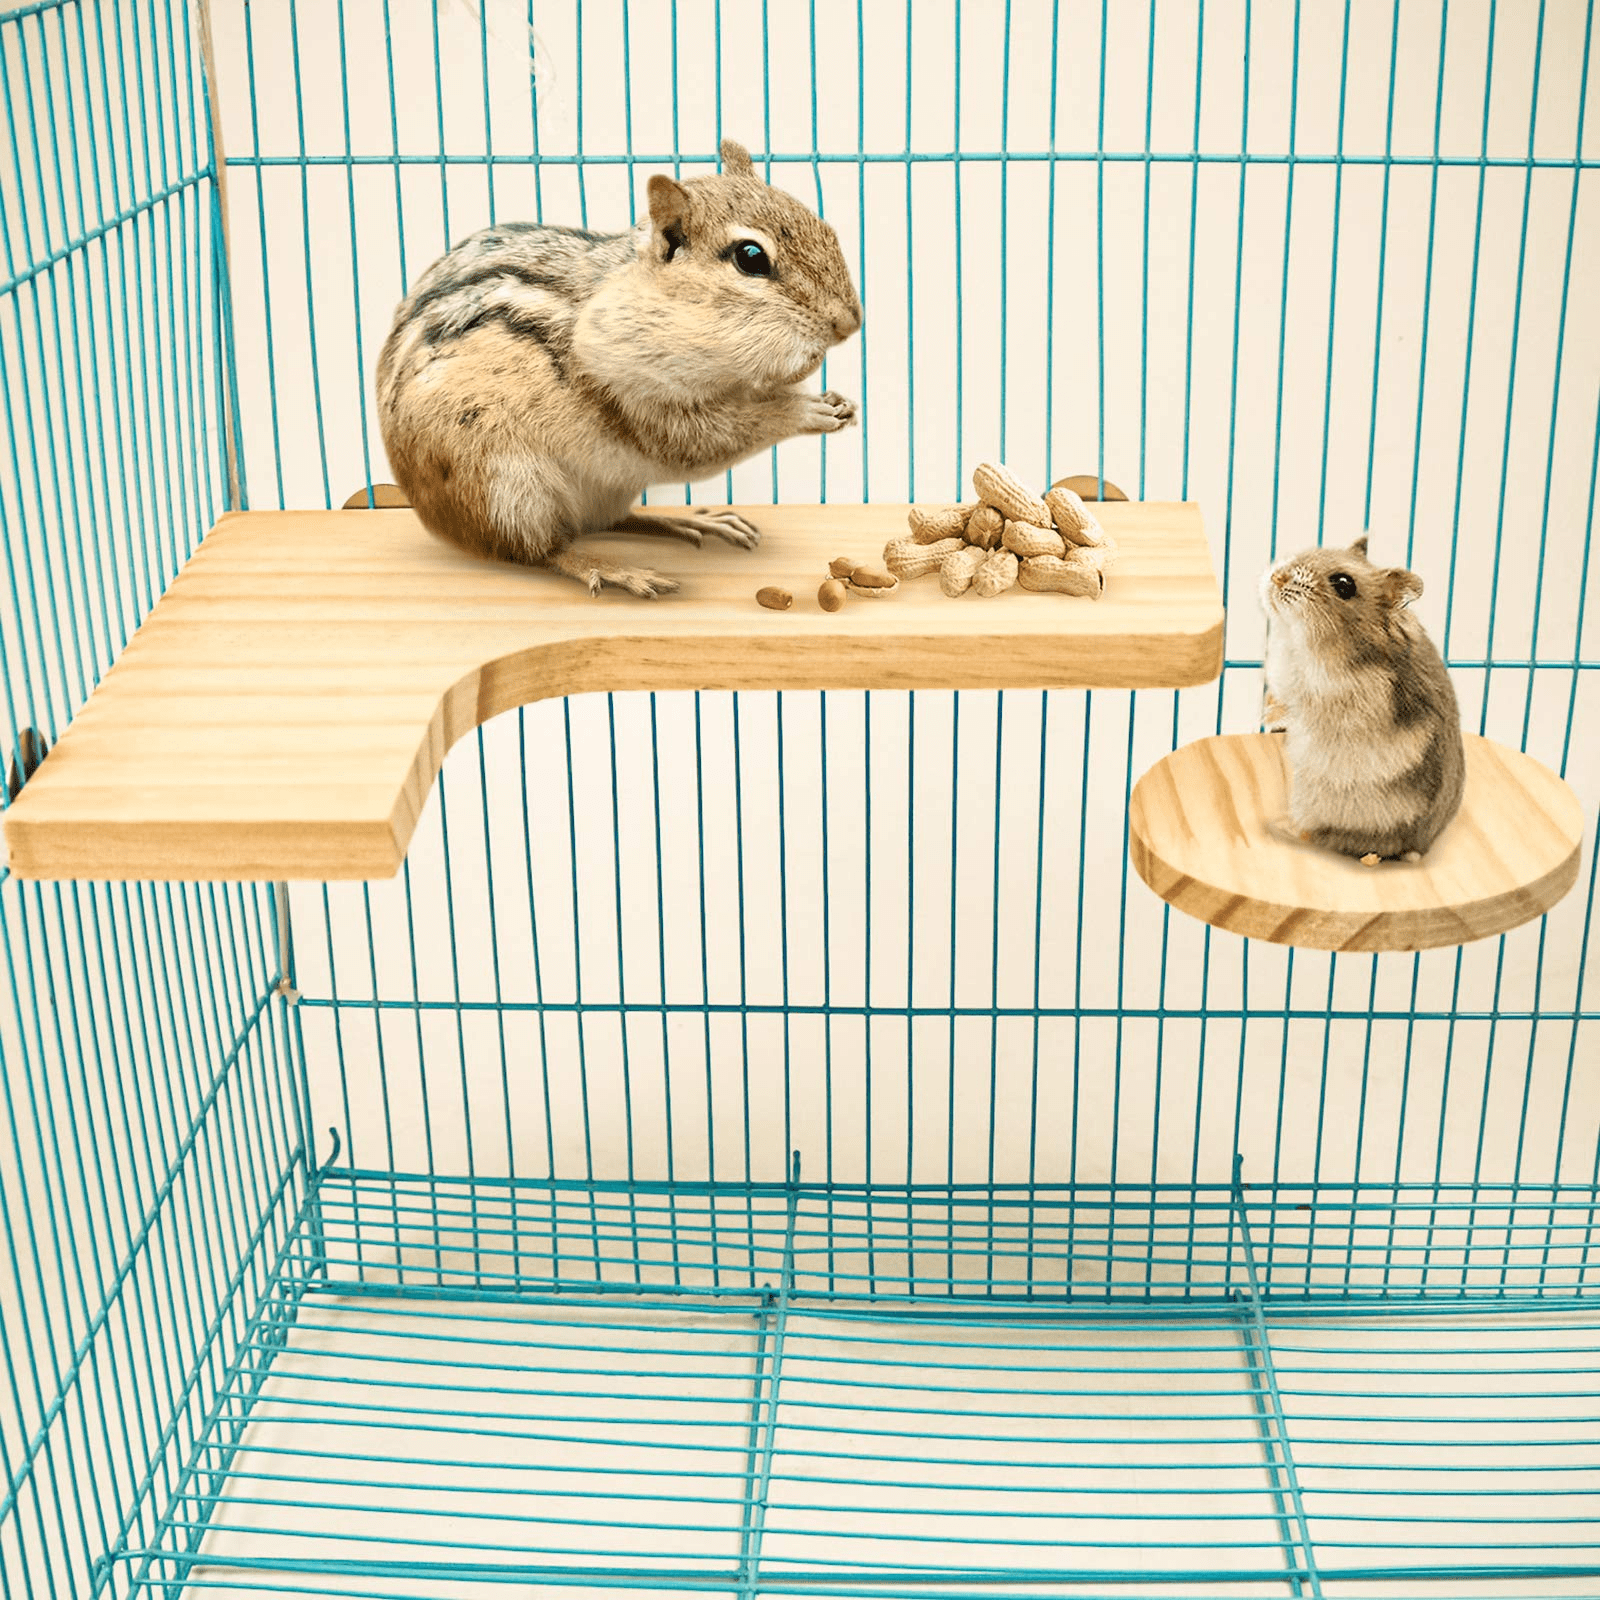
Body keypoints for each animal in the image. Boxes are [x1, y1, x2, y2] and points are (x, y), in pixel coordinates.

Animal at [375, 139, 863, 598]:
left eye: (825, 227)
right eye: (751, 257)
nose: (850, 323)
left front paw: (838, 400)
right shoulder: (634, 398)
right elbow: (707, 437)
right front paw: (805, 411)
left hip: (599, 490)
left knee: (611, 521)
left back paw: (688, 522)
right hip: (508, 489)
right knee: (539, 550)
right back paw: (614, 569)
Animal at [1260, 536, 1466, 864]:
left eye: (1344, 584)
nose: (1277, 576)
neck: (1298, 641)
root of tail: (1419, 847)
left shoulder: (1334, 700)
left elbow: (1299, 709)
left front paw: (1271, 718)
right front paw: (1267, 712)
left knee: (1339, 840)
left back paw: (1286, 828)